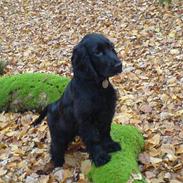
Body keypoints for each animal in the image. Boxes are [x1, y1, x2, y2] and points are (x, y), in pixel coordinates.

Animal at [32, 33, 122, 167]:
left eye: (112, 47)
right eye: (98, 52)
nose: (119, 65)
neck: (96, 86)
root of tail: (51, 105)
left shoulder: (107, 113)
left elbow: (105, 131)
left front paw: (110, 145)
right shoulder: (86, 121)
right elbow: (94, 139)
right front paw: (100, 157)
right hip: (59, 133)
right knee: (55, 146)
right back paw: (58, 162)